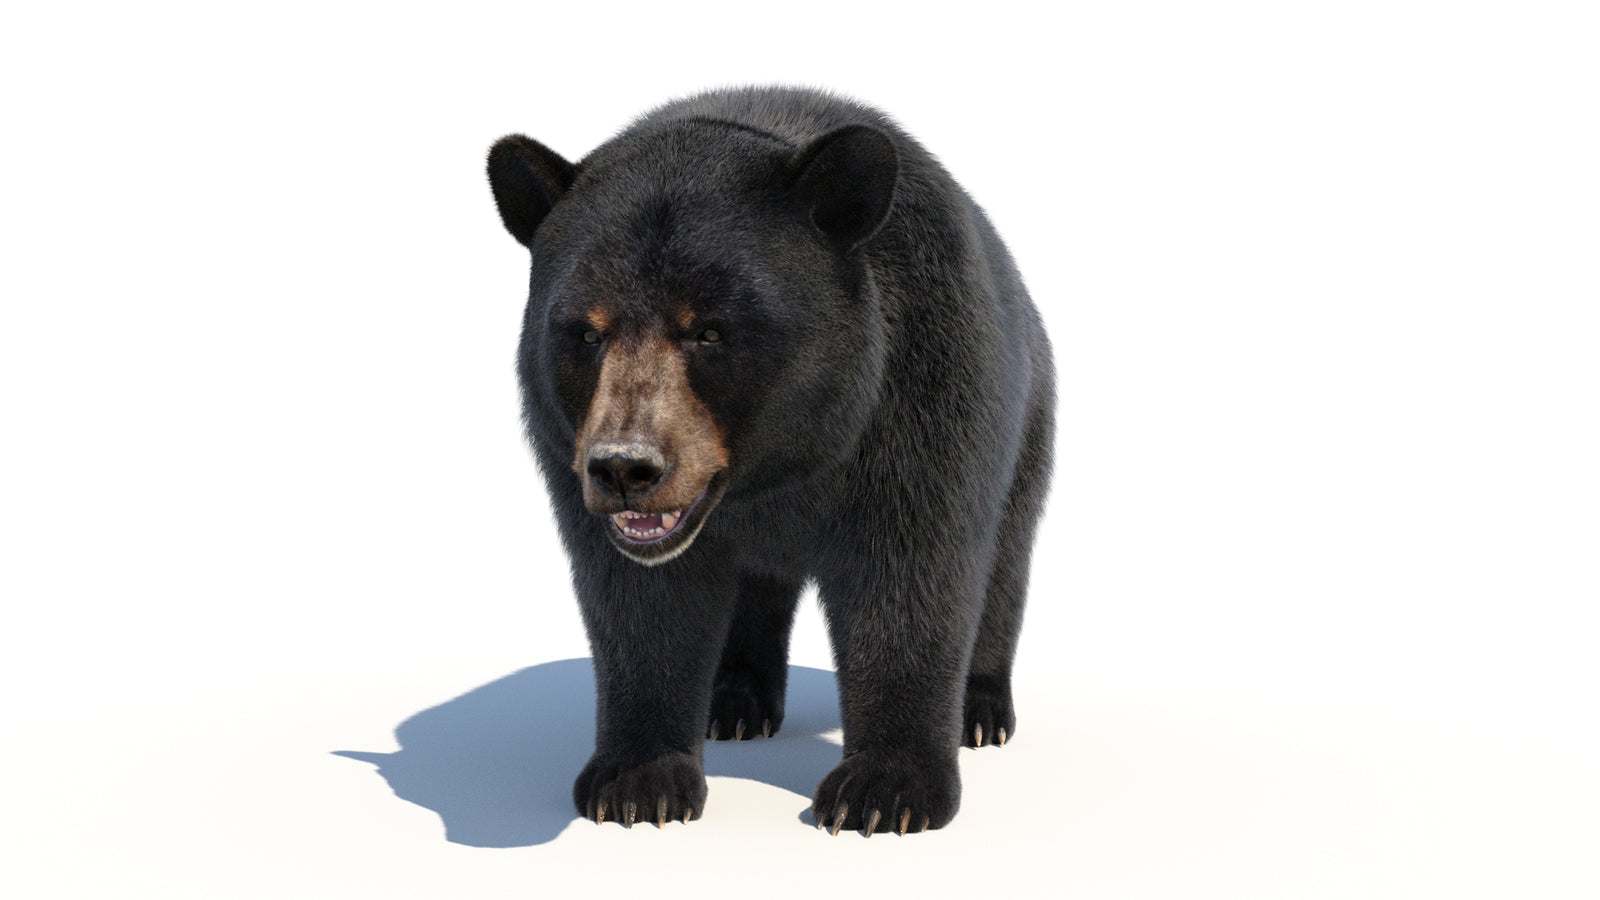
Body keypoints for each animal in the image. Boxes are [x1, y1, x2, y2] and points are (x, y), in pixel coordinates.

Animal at [486, 86, 1053, 836]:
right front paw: (637, 781)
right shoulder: (568, 451)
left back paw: (980, 709)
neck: (782, 468)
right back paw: (733, 700)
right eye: (585, 331)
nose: (625, 468)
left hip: (1028, 414)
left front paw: (886, 790)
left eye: (710, 330)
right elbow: (639, 600)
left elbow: (909, 574)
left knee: (1008, 550)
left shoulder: (919, 398)